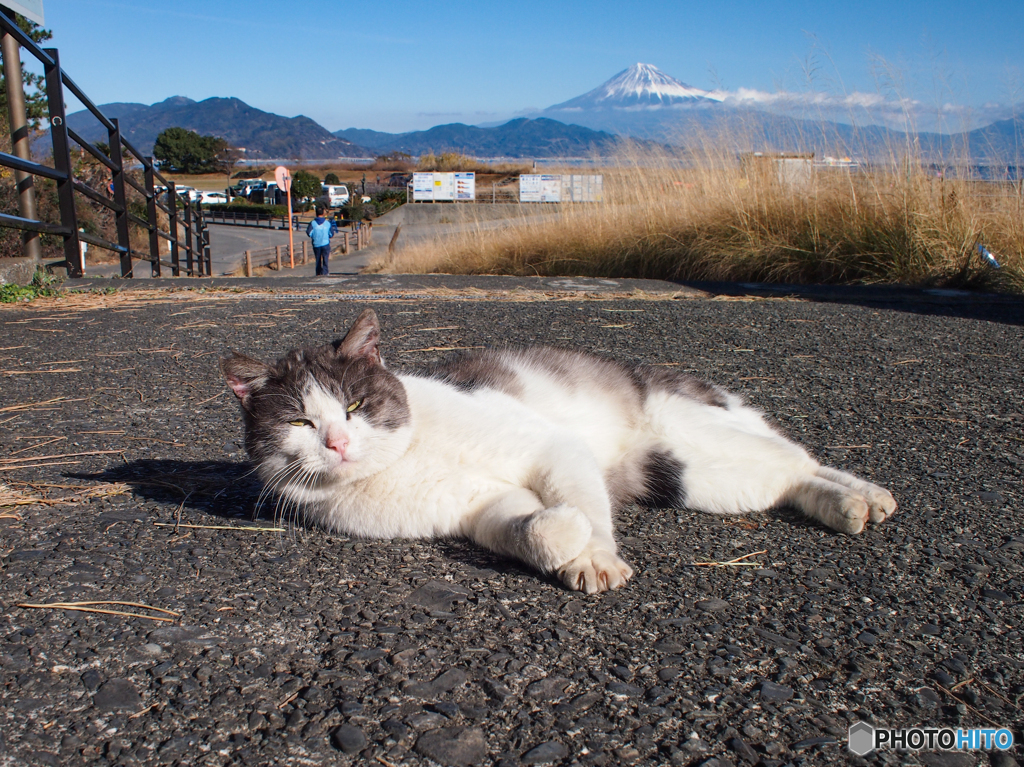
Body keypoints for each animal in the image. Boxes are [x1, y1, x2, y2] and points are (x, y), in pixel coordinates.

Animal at [222, 307, 897, 593]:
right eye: (301, 421)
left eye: (356, 406)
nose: (337, 442)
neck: (407, 458)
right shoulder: (481, 511)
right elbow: (529, 530)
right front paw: (562, 536)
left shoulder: (552, 448)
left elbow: (585, 504)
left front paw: (594, 558)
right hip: (685, 475)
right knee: (787, 481)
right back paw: (846, 507)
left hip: (696, 429)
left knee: (800, 457)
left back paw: (867, 495)